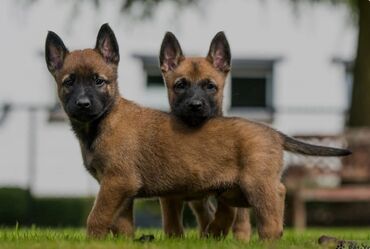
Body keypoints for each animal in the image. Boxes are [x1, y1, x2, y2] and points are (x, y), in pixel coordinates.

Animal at [159, 32, 251, 240]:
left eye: (210, 86)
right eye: (180, 85)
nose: (195, 105)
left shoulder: (227, 187)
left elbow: (227, 213)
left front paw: (217, 232)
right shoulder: (170, 193)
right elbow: (172, 220)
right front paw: (176, 238)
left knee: (240, 215)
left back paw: (241, 236)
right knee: (204, 213)